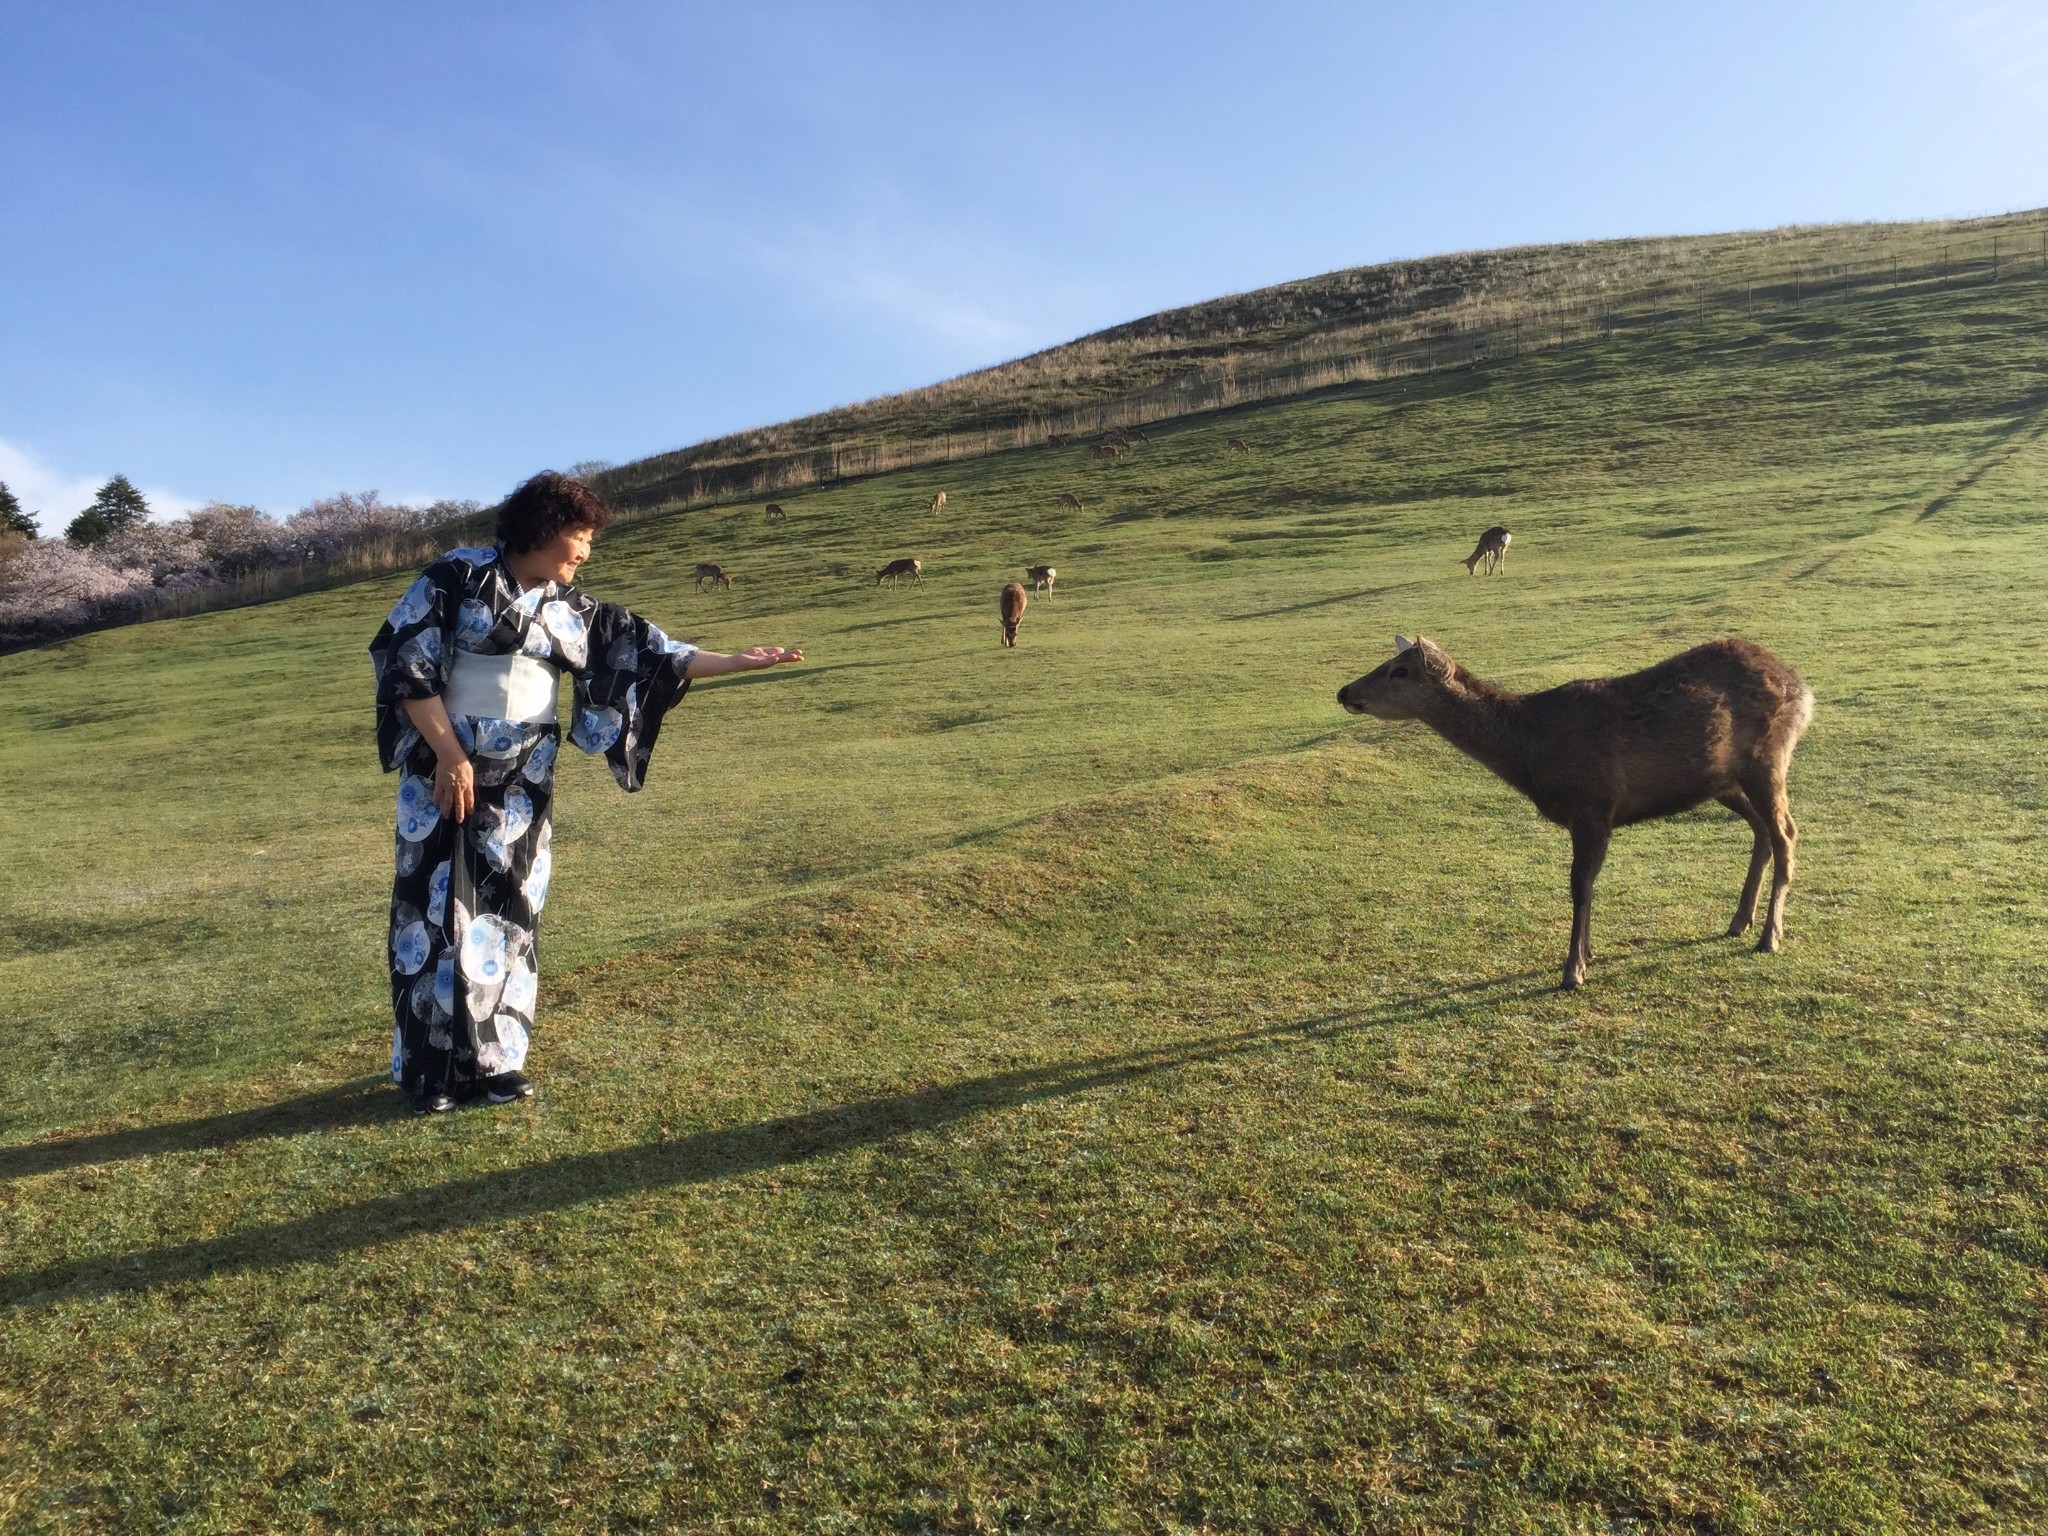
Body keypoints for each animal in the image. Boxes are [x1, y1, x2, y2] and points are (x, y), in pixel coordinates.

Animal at [1335, 634, 1818, 987]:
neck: (1529, 753)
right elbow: (1586, 887)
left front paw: (1573, 970)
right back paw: (1739, 920)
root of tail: (1803, 687)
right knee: (1762, 831)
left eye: (1399, 670)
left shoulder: (1593, 805)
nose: (1344, 691)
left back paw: (1769, 936)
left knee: (1787, 833)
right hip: (1722, 780)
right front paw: (1586, 953)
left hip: (1767, 759)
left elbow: (1580, 887)